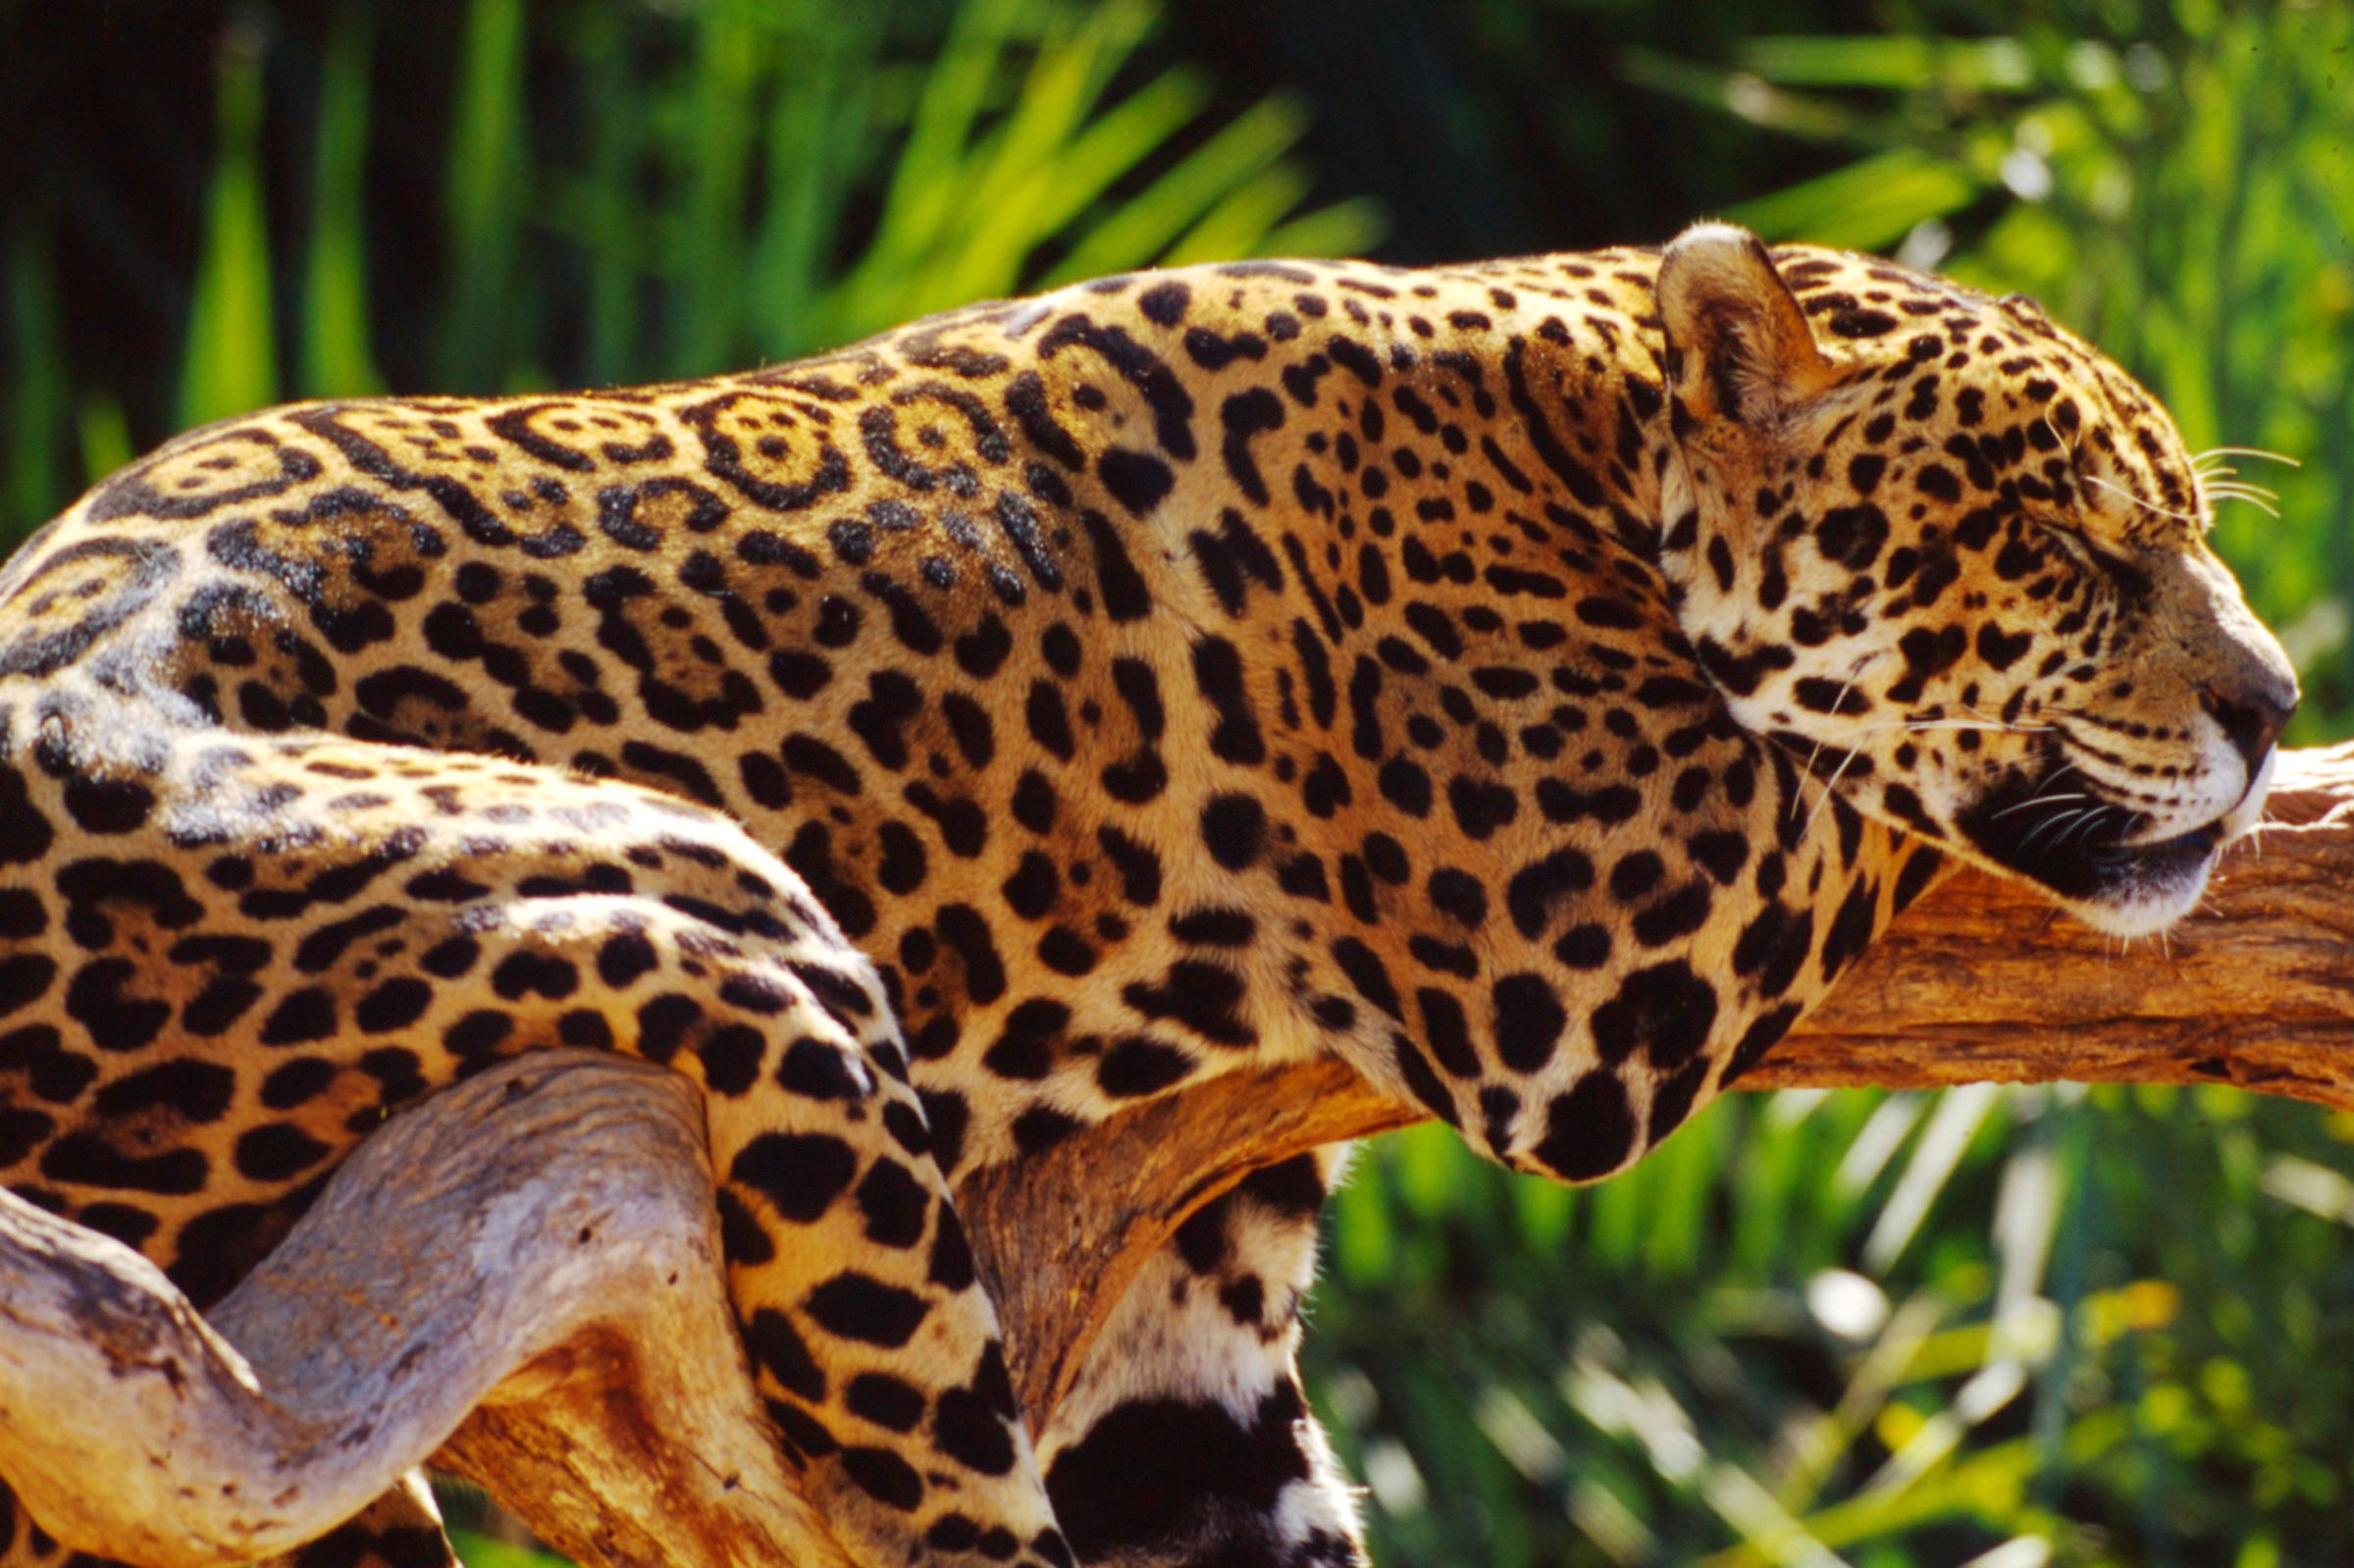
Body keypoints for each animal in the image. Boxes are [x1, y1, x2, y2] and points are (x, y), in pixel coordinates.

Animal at [0, 220, 2297, 1568]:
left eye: (2184, 528)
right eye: (2070, 554)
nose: (2275, 704)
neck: (1583, 418)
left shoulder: (1181, 1320)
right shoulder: (1593, 937)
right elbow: (1859, 771)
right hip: (709, 939)